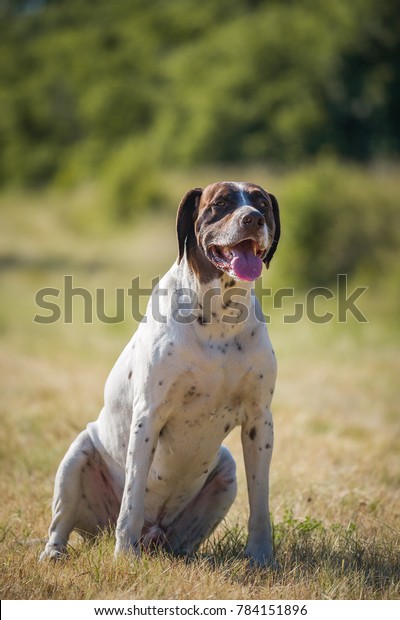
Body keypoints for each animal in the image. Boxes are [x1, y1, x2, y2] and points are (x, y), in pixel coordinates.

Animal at [39, 180, 280, 568]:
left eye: (262, 203)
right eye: (222, 203)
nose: (253, 218)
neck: (219, 316)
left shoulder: (260, 422)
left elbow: (260, 501)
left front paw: (260, 557)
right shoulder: (148, 418)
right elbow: (132, 499)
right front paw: (124, 557)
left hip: (225, 474)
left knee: (182, 539)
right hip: (78, 455)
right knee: (64, 522)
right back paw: (55, 552)